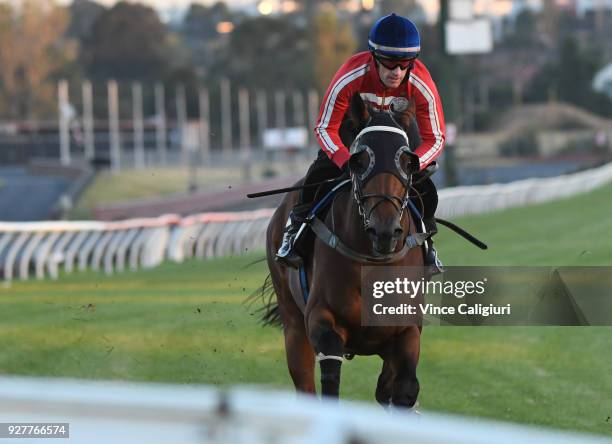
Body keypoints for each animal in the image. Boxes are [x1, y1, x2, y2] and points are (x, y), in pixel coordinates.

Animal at [260, 95, 428, 408]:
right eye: (360, 160)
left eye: (407, 162)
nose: (384, 231)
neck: (374, 263)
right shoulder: (321, 319)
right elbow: (330, 376)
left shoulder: (406, 330)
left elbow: (405, 387)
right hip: (293, 324)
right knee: (305, 383)